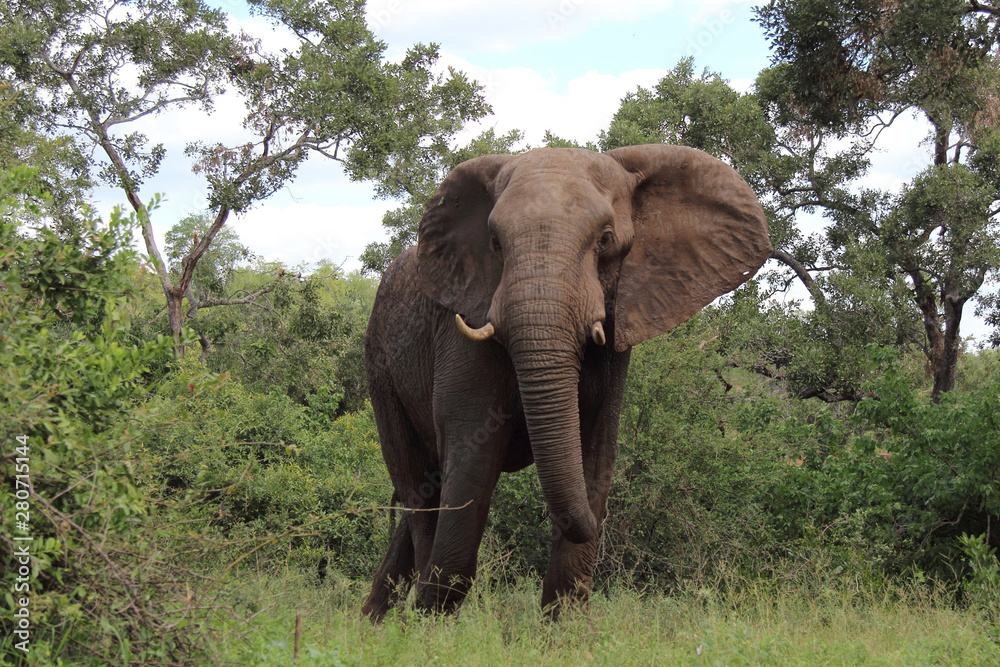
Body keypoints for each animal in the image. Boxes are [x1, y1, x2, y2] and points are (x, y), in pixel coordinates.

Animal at [360, 144, 771, 621]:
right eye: (495, 244)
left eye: (606, 240)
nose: (600, 523)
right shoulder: (462, 329)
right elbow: (471, 455)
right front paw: (429, 625)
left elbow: (595, 450)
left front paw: (566, 629)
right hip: (380, 367)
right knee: (420, 490)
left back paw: (375, 623)